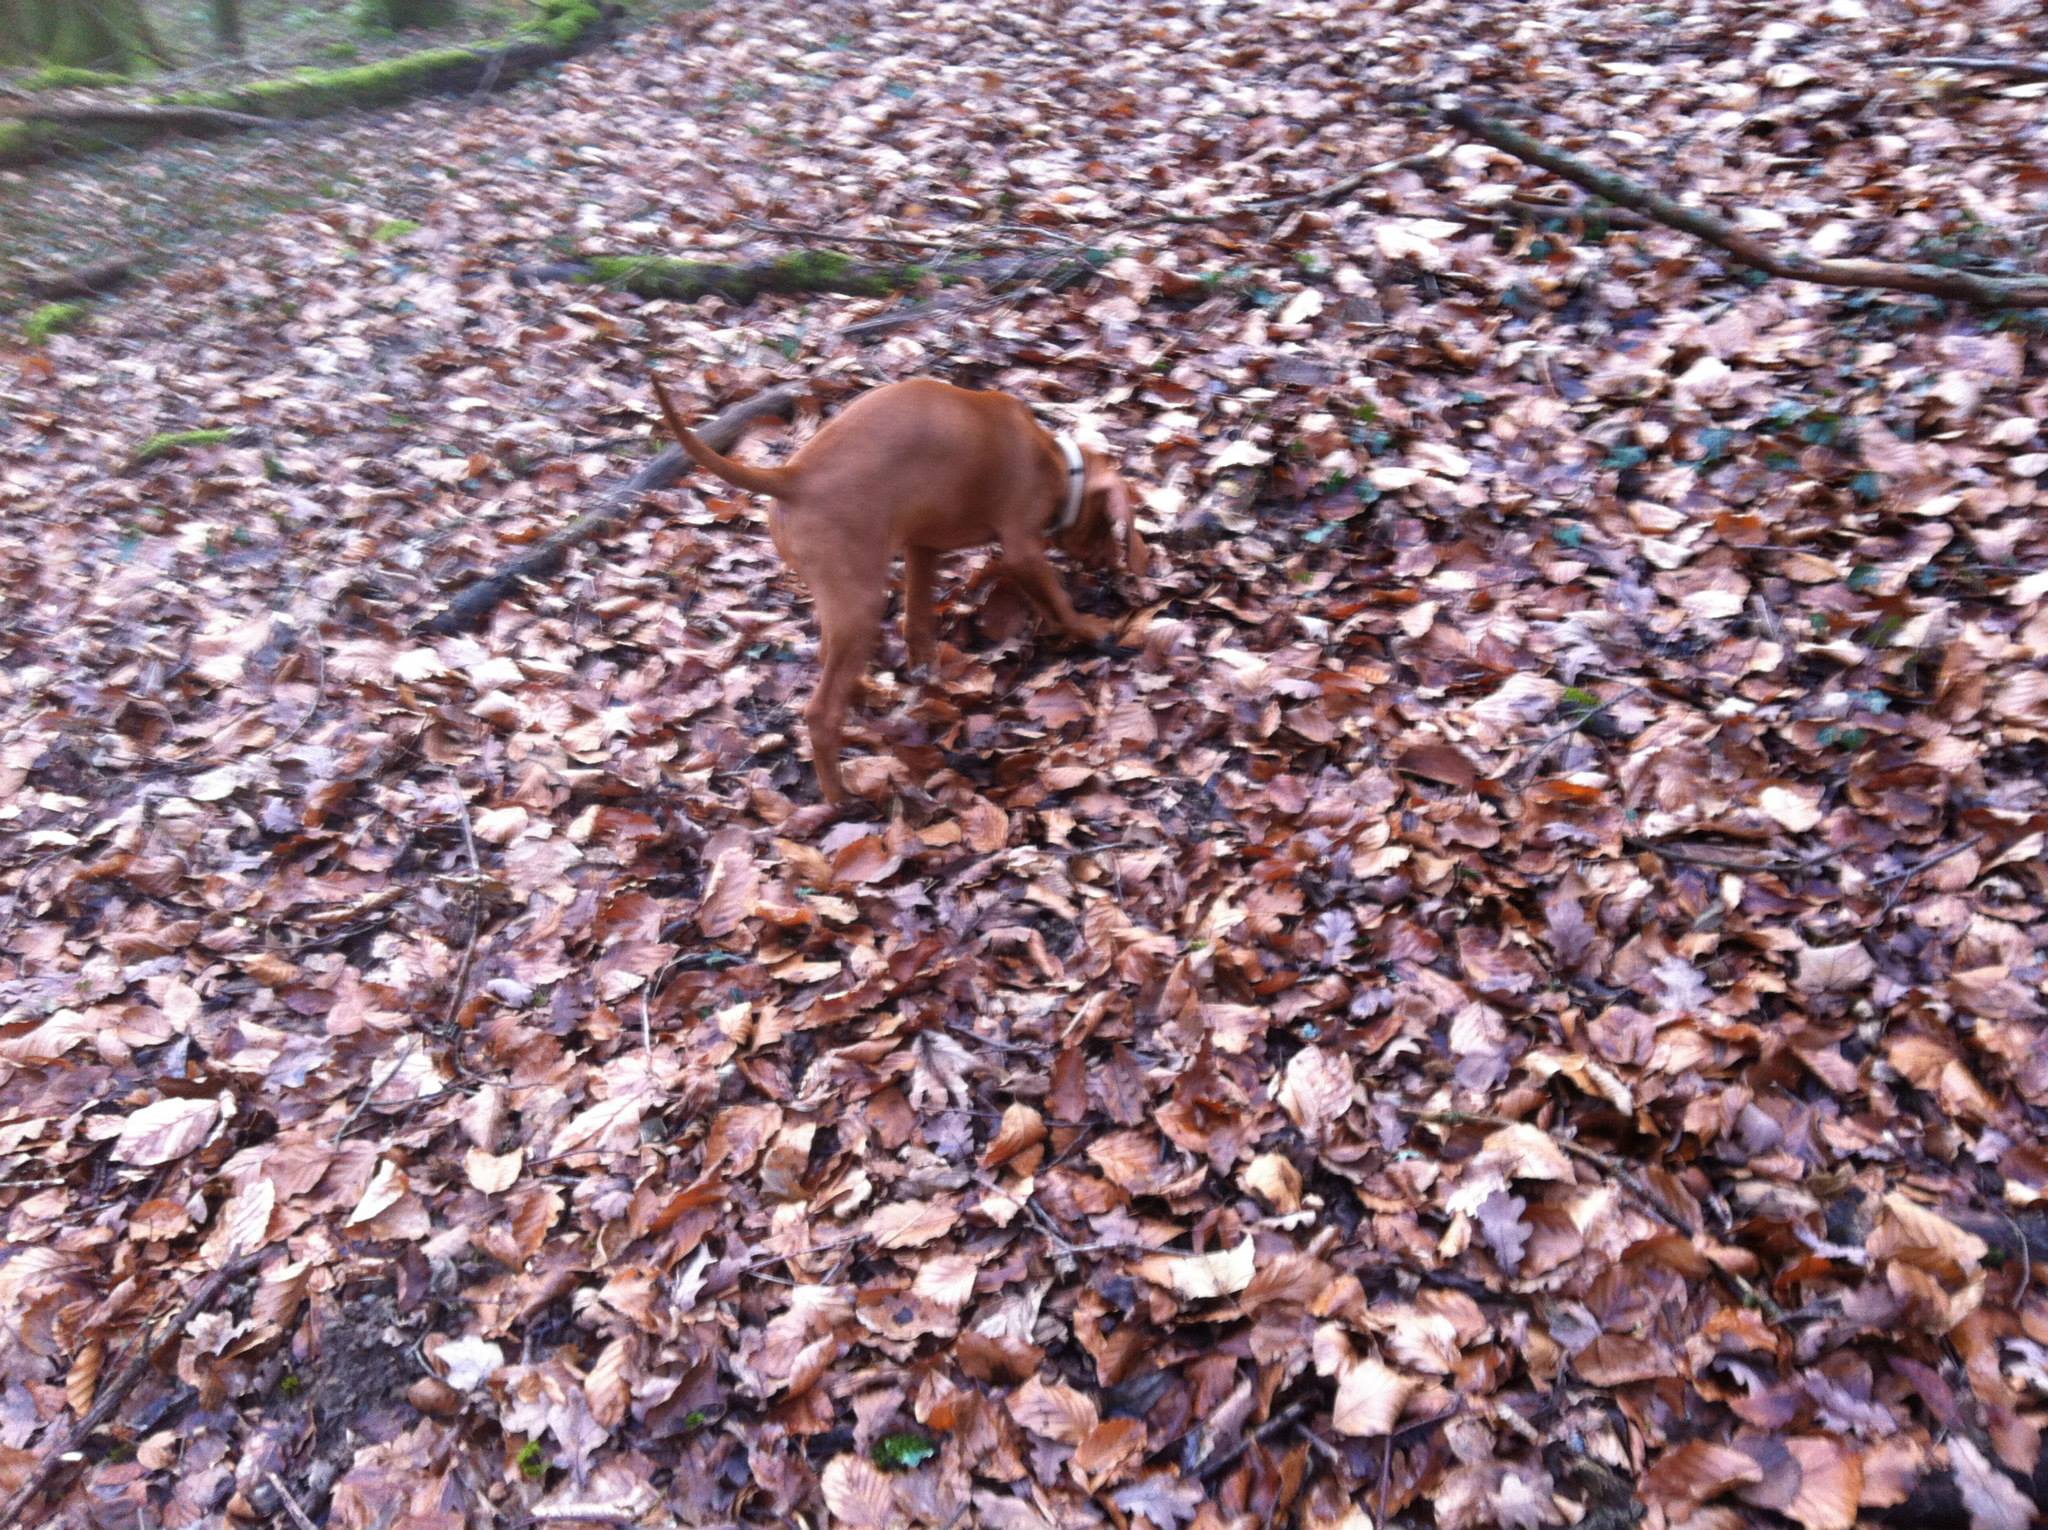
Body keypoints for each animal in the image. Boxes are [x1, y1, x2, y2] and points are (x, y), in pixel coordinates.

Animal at [651, 376, 1146, 806]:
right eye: (1108, 524)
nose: (1112, 569)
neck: (1056, 462)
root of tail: (793, 475)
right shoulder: (1022, 546)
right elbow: (1057, 599)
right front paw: (1092, 629)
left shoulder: (921, 546)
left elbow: (917, 620)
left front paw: (926, 674)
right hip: (862, 601)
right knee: (819, 712)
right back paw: (839, 797)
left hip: (843, 596)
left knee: (830, 664)